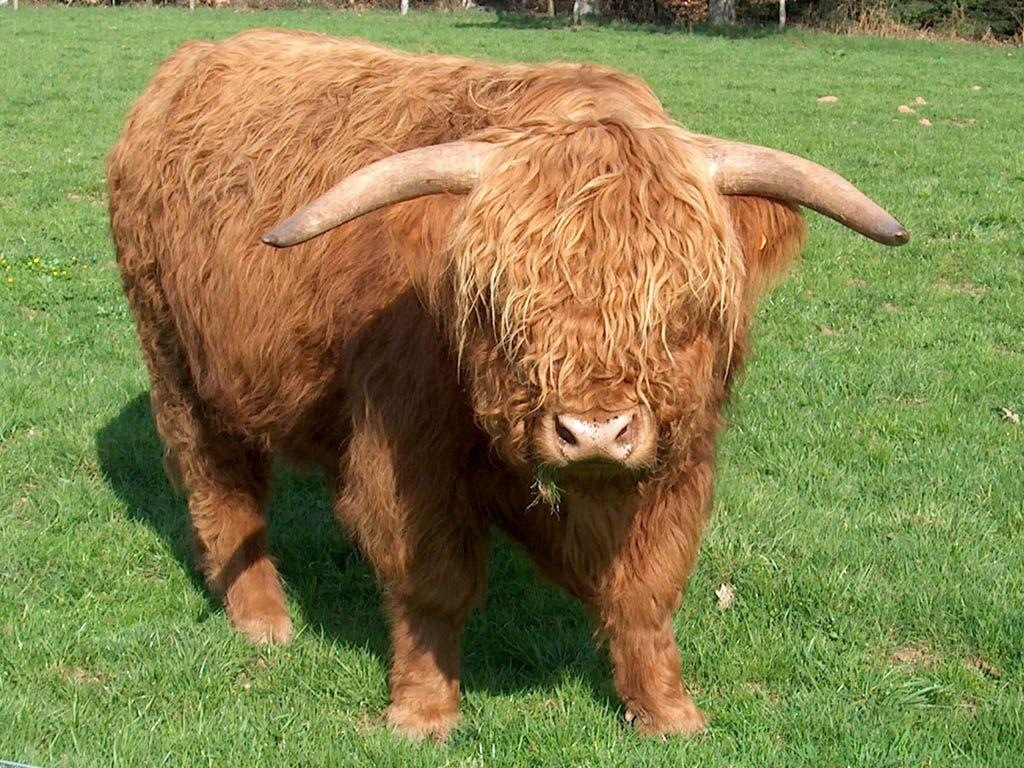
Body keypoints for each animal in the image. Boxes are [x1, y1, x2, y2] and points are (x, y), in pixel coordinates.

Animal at [107, 28, 907, 740]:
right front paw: (423, 713)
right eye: (502, 306)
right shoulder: (407, 450)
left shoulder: (682, 452)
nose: (594, 432)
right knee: (218, 481)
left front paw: (666, 710)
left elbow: (646, 587)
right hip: (175, 356)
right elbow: (431, 580)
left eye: (683, 306)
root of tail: (191, 60)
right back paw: (262, 619)